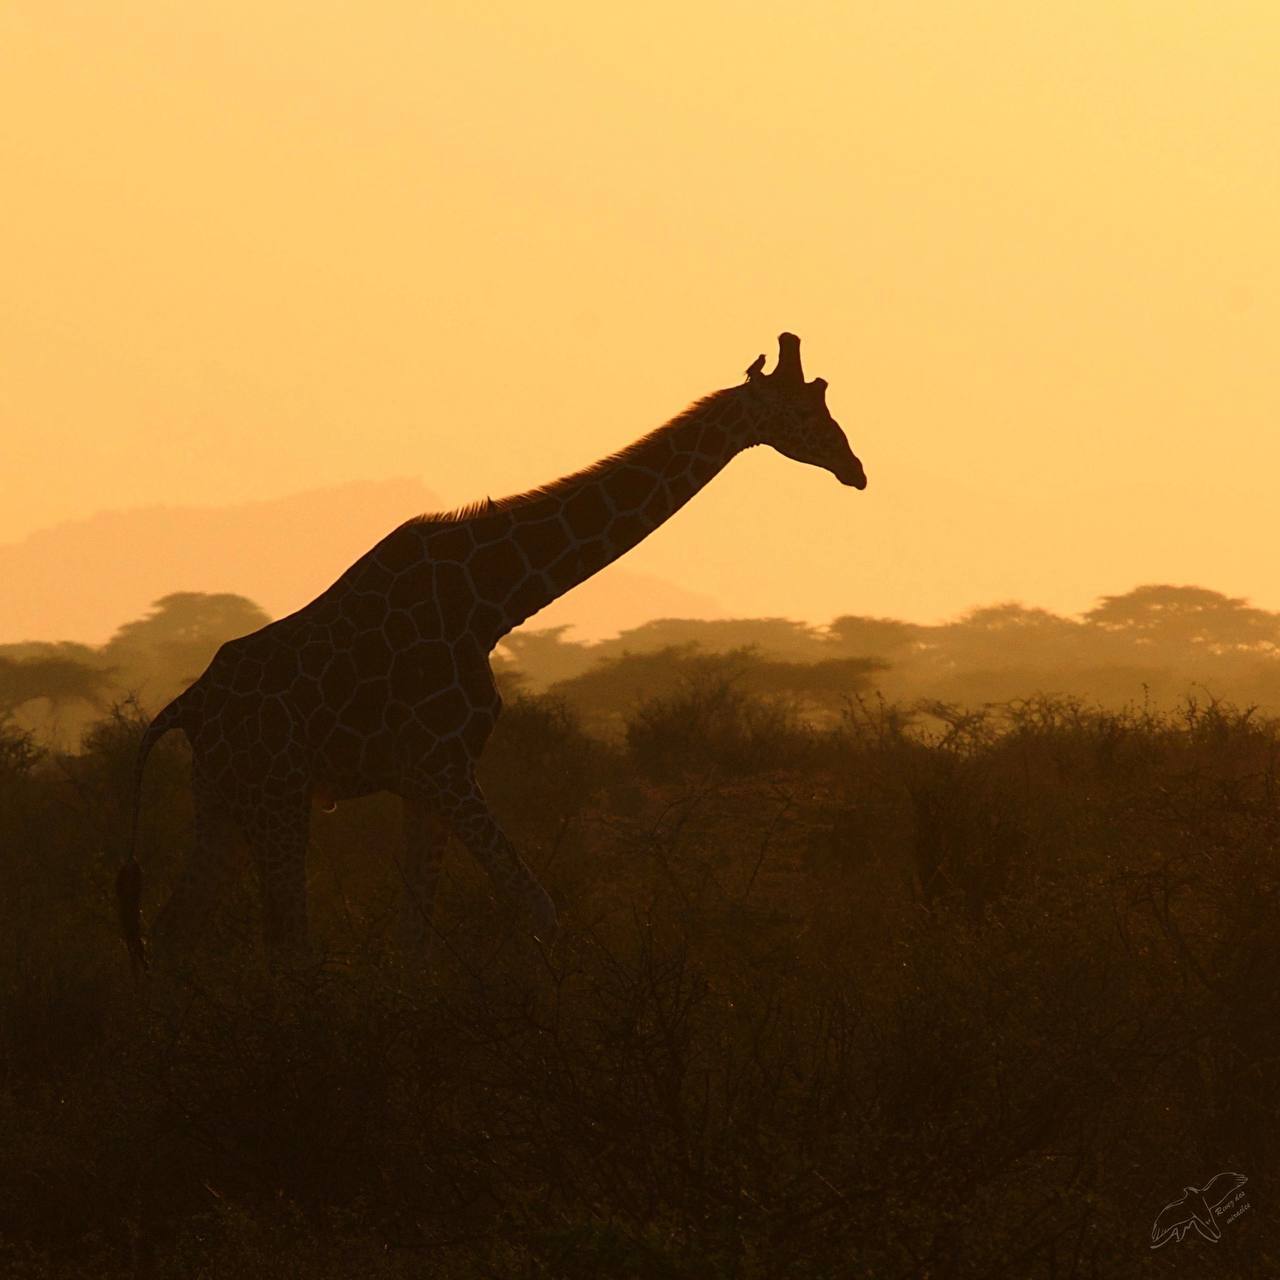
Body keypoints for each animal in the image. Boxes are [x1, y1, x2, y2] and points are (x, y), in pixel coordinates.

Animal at [115, 332, 865, 967]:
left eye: (824, 396)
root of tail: (188, 705)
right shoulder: (441, 766)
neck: (492, 604)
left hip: (224, 796)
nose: (855, 468)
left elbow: (414, 940)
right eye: (805, 408)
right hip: (277, 792)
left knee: (176, 931)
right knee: (284, 946)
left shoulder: (427, 780)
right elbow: (537, 907)